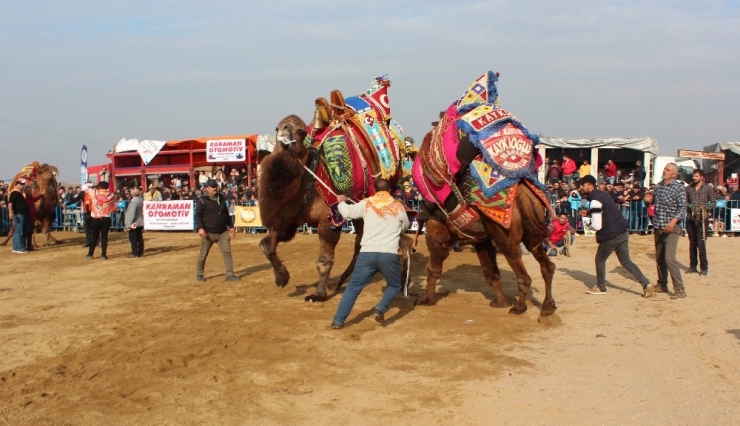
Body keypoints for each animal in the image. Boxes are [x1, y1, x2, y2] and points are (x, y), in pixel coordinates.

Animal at [258, 77, 414, 302]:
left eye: (301, 131)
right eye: (279, 127)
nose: (286, 133)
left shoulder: (329, 219)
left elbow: (324, 260)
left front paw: (318, 294)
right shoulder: (289, 219)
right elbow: (267, 244)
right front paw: (282, 277)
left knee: (398, 240)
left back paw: (401, 283)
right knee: (367, 242)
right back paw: (339, 283)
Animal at [410, 71, 556, 318]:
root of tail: (523, 195)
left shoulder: (436, 227)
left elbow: (434, 266)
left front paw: (426, 299)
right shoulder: (481, 237)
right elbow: (491, 272)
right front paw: (499, 302)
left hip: (506, 235)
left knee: (523, 273)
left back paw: (520, 307)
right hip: (531, 230)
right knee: (547, 266)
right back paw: (547, 307)